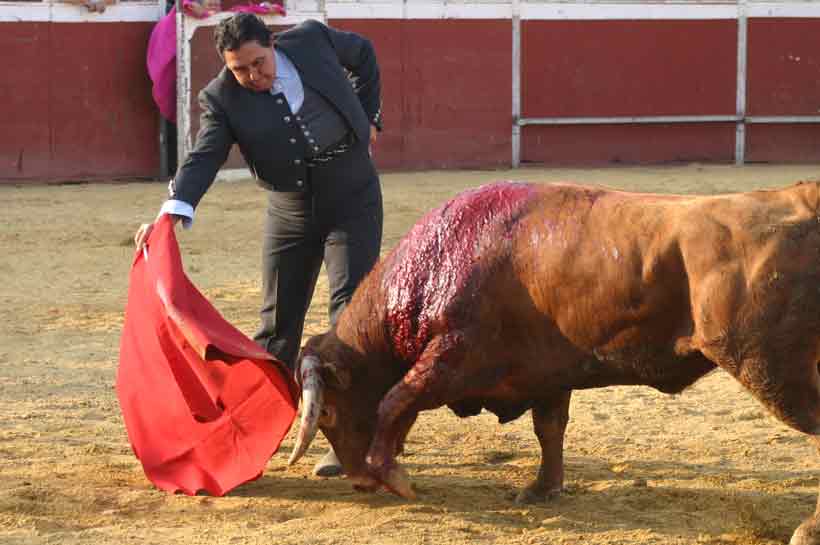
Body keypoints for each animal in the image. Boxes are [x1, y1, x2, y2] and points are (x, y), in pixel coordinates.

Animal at [286, 181, 820, 540]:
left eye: (326, 411)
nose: (358, 481)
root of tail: (802, 196)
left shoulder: (451, 357)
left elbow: (395, 399)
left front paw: (393, 475)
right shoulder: (548, 374)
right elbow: (549, 429)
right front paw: (544, 489)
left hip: (772, 370)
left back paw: (808, 529)